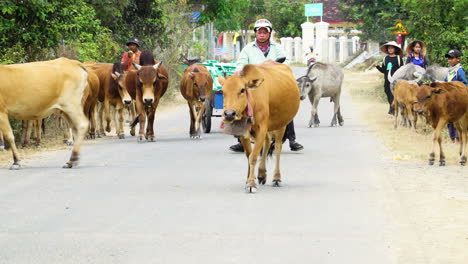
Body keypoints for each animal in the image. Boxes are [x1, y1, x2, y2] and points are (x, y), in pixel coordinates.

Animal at [219, 62, 300, 194]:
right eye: (222, 92)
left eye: (242, 90)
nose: (229, 114)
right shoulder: (244, 132)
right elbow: (249, 155)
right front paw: (248, 180)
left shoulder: (261, 128)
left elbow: (254, 156)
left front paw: (251, 184)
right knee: (267, 143)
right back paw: (262, 174)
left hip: (281, 124)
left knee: (277, 148)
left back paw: (276, 178)